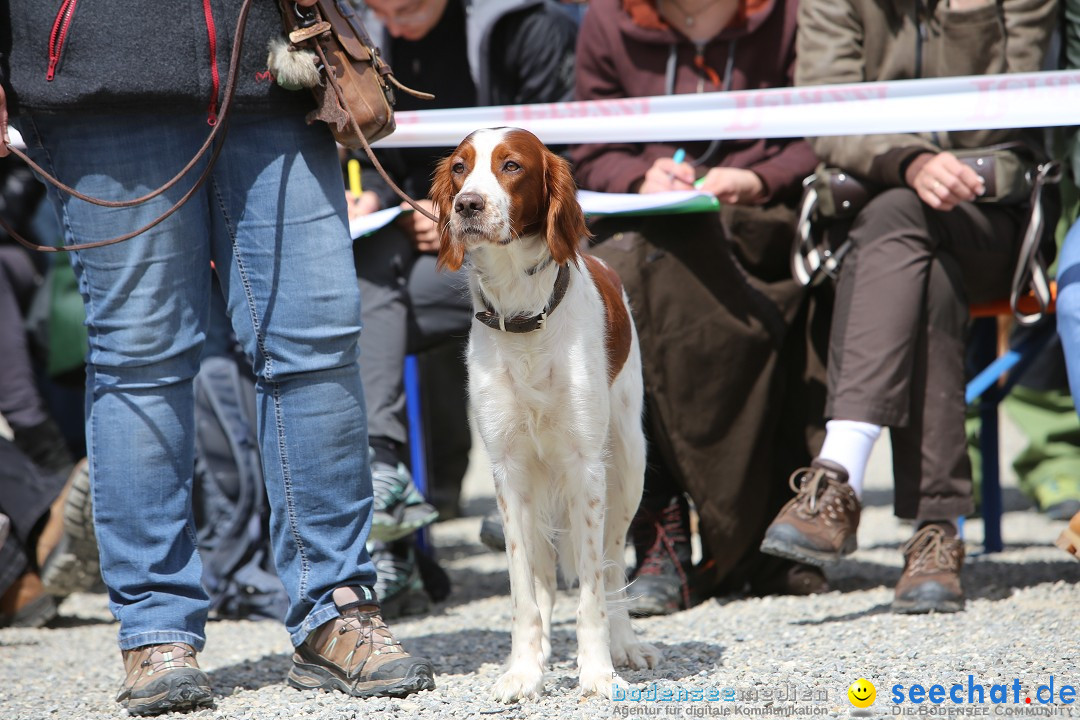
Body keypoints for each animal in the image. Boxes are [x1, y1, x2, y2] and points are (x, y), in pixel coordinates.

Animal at [429, 129, 656, 703]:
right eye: (460, 168)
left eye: (511, 166)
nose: (467, 205)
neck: (523, 313)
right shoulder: (508, 471)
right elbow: (524, 590)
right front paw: (524, 671)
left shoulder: (585, 467)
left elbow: (594, 589)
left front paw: (598, 672)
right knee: (545, 575)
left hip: (629, 466)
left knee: (613, 567)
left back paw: (627, 644)